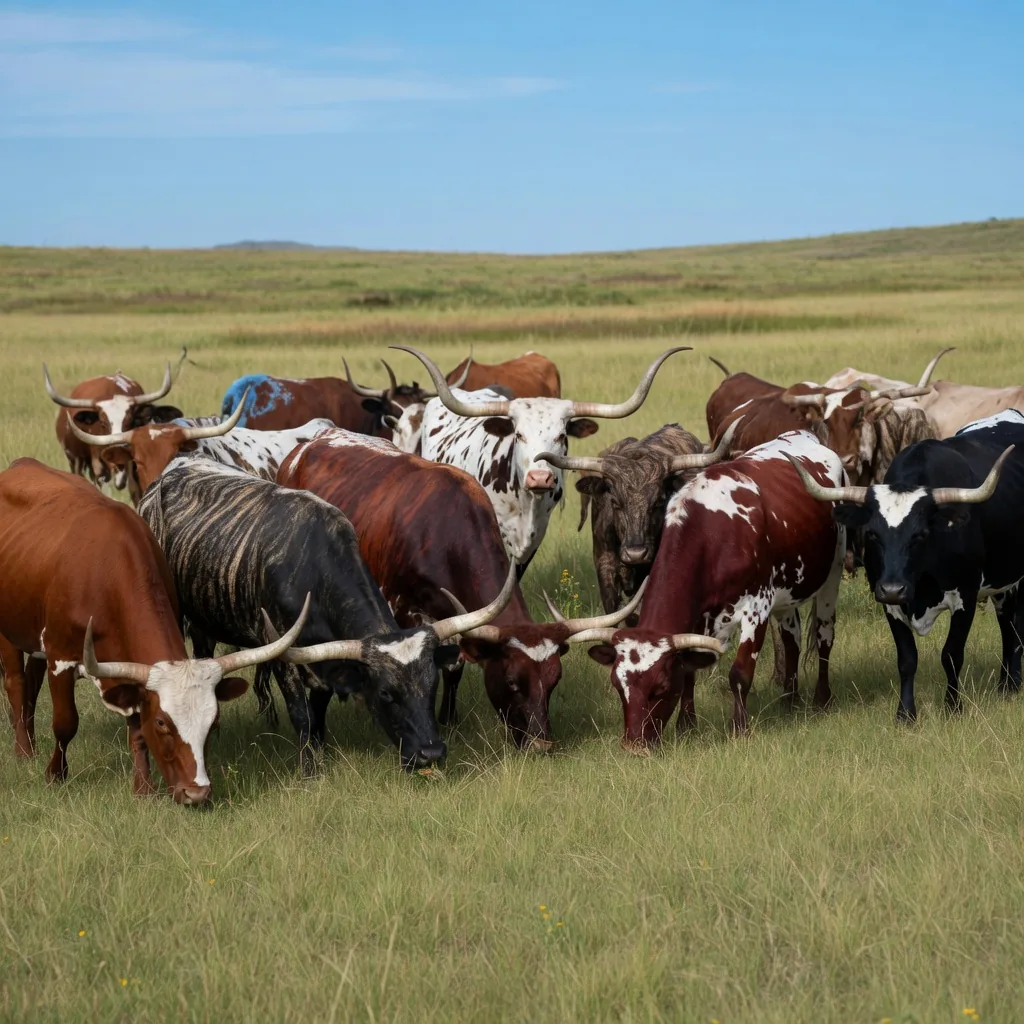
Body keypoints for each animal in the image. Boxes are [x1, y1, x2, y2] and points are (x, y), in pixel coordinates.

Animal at [0, 458, 306, 803]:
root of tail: (20, 464)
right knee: (16, 683)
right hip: (8, 632)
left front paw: (143, 789)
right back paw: (24, 750)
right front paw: (55, 775)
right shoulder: (61, 657)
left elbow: (136, 729)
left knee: (31, 680)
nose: (196, 793)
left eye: (213, 723)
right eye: (162, 722)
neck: (104, 573)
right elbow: (66, 723)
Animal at [137, 457, 515, 773]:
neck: (312, 569)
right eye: (386, 694)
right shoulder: (286, 661)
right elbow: (302, 715)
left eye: (431, 685)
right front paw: (309, 769)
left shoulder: (324, 665)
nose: (431, 753)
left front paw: (321, 752)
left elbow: (318, 712)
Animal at [277, 429, 645, 749]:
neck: (443, 532)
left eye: (553, 681)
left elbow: (454, 666)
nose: (541, 744)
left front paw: (449, 719)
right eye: (512, 681)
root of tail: (305, 446)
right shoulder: (405, 611)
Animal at [581, 431, 846, 748]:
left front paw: (739, 729)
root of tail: (801, 434)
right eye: (619, 687)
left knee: (824, 636)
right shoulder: (697, 617)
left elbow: (740, 674)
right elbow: (689, 670)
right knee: (791, 639)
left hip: (831, 577)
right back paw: (789, 701)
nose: (634, 745)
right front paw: (686, 726)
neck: (711, 534)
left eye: (661, 687)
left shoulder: (757, 608)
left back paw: (822, 698)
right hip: (788, 591)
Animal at [791, 409, 1024, 722]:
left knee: (1013, 626)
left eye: (920, 535)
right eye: (872, 533)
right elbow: (907, 659)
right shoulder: (889, 605)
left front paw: (953, 707)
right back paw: (1008, 684)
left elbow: (952, 655)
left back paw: (1011, 685)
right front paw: (905, 714)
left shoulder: (966, 597)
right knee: (1008, 622)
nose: (893, 588)